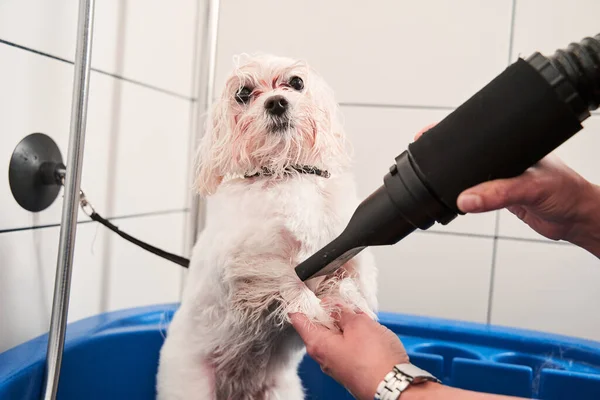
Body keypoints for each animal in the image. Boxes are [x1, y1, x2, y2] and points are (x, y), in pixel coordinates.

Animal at [157, 54, 378, 400]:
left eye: (297, 82)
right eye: (244, 93)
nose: (276, 102)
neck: (288, 173)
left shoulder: (345, 242)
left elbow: (357, 279)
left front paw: (351, 303)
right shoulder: (247, 260)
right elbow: (288, 278)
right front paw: (316, 312)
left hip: (281, 391)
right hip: (190, 385)